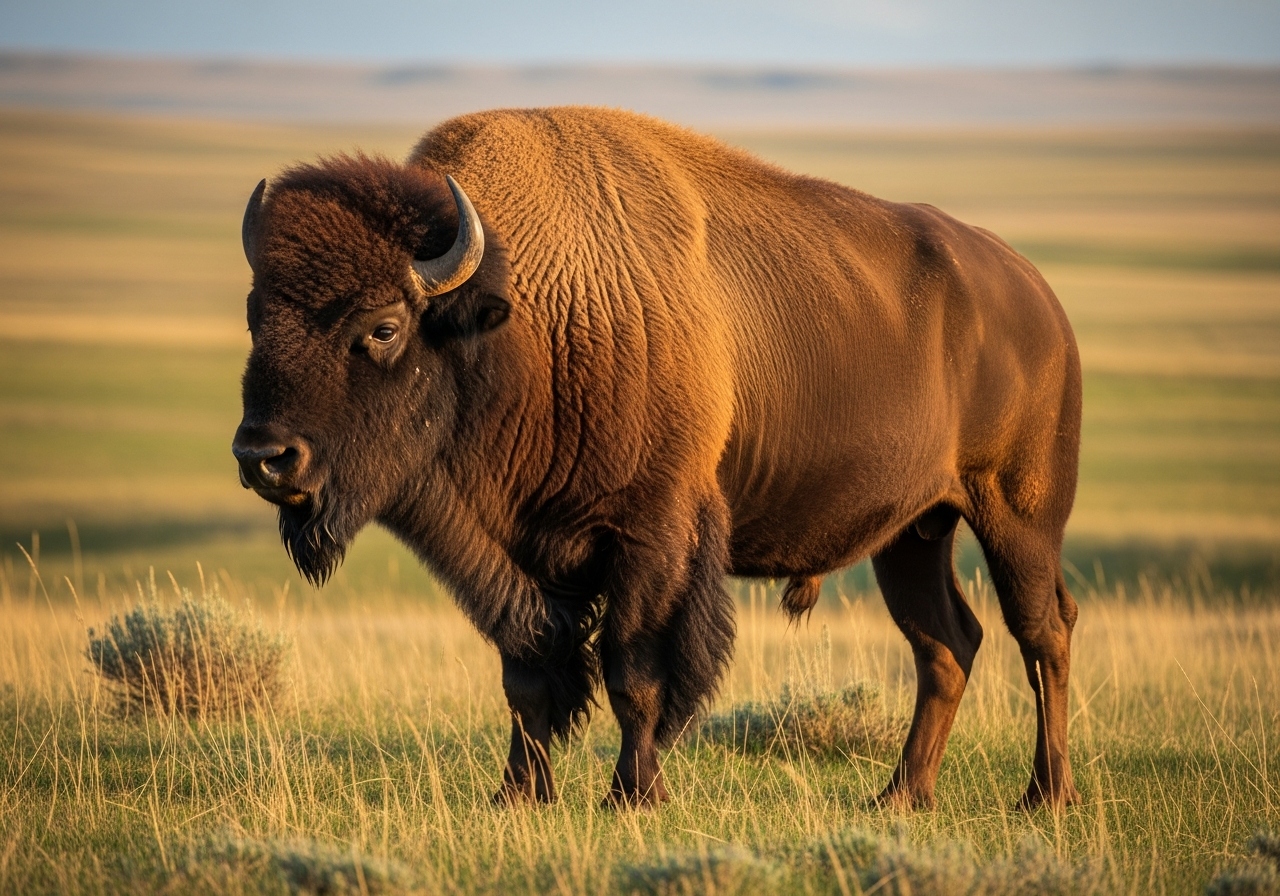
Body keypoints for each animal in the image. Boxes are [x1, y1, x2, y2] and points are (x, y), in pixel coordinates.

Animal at [233, 107, 1082, 810]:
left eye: (382, 327)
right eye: (254, 314)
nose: (263, 456)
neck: (520, 322)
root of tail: (1036, 296)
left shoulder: (652, 535)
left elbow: (635, 673)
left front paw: (632, 797)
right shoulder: (516, 554)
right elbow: (528, 673)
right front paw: (518, 797)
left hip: (1018, 515)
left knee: (1041, 633)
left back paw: (1043, 797)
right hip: (913, 533)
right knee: (946, 644)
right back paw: (900, 797)